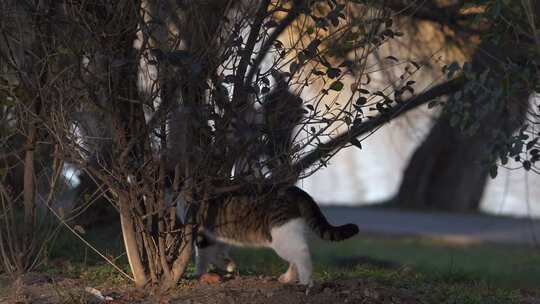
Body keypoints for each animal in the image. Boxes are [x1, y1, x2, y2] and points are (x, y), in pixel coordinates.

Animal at [194, 185, 358, 288]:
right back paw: (287, 278)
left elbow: (202, 256)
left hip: (281, 234)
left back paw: (304, 282)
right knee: (296, 255)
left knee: (301, 252)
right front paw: (227, 265)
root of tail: (296, 190)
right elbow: (214, 253)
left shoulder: (200, 232)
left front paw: (199, 273)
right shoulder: (213, 236)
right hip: (292, 230)